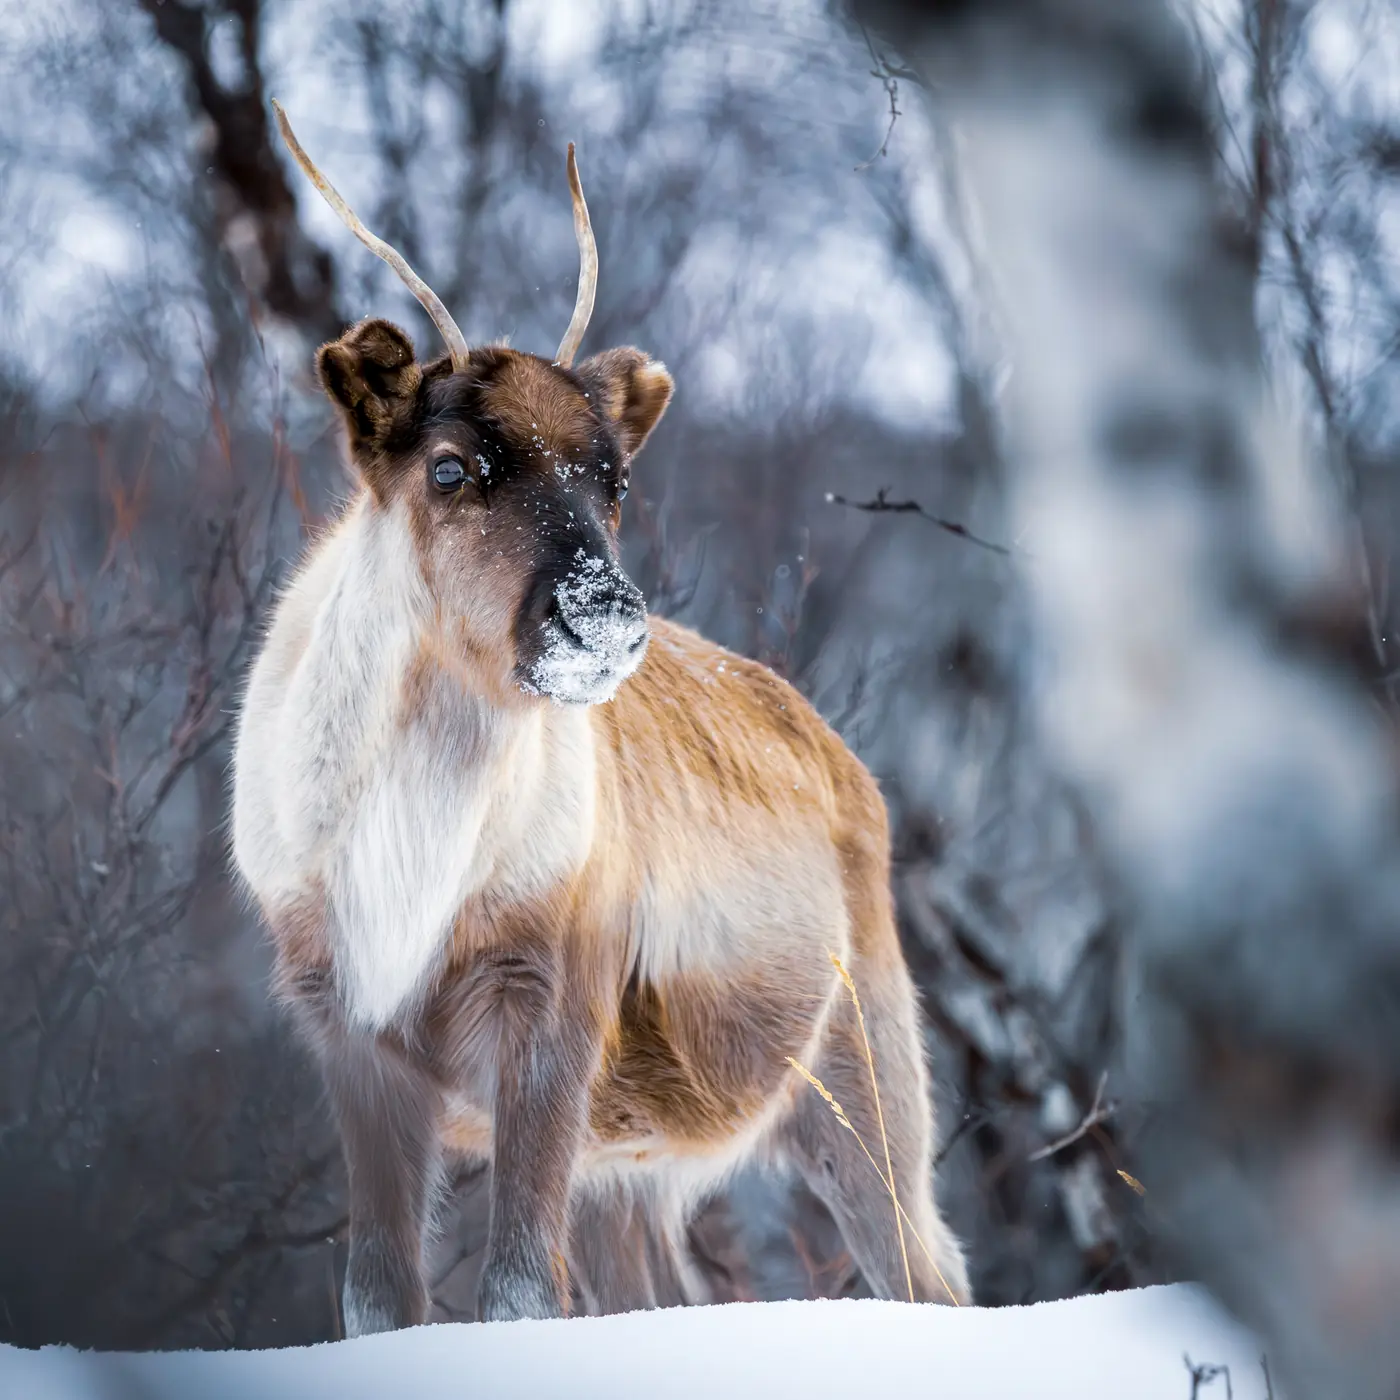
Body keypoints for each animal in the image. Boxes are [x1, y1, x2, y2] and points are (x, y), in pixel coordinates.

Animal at [230, 102, 972, 1333]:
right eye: (450, 465)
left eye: (611, 478)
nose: (605, 618)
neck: (409, 861)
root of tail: (843, 758)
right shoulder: (346, 1025)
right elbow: (379, 1296)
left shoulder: (552, 1003)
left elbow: (519, 1292)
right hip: (634, 1169)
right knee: (665, 1291)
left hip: (863, 1075)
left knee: (930, 1273)